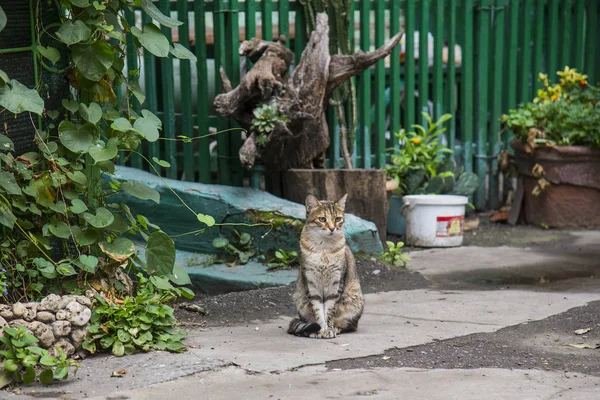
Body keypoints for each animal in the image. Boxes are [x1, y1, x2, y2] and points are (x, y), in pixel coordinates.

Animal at [288, 194, 364, 338]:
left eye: (338, 219)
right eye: (322, 219)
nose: (332, 228)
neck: (324, 250)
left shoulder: (336, 283)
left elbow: (329, 311)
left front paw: (328, 330)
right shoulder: (311, 283)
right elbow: (319, 311)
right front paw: (321, 330)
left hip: (354, 302)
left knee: (350, 326)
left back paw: (337, 328)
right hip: (300, 301)